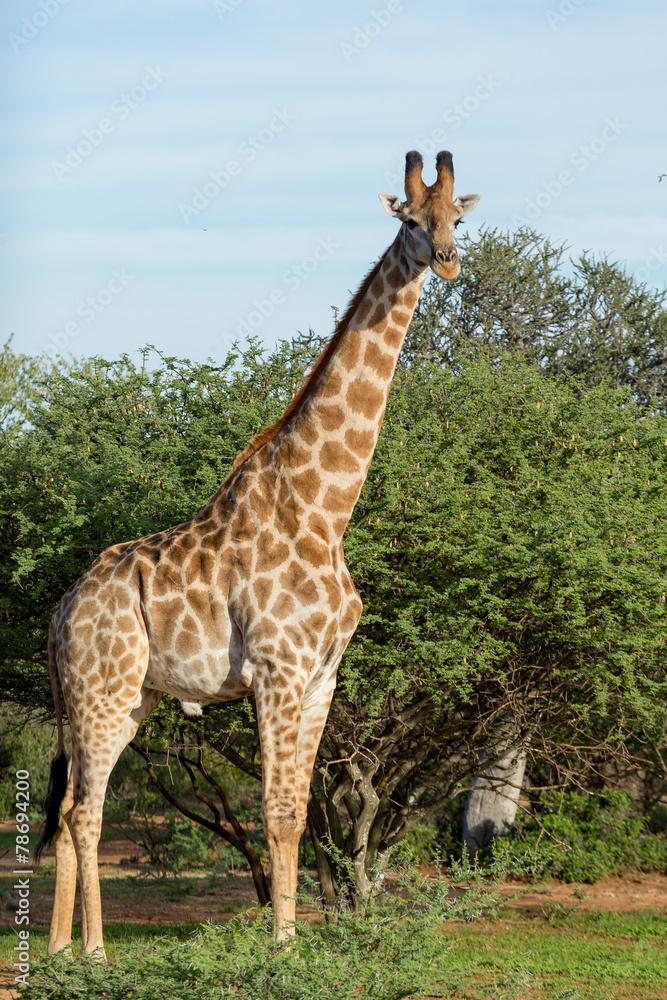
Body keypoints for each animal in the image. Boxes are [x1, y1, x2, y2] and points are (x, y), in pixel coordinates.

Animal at [36, 150, 480, 956]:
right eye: (408, 220)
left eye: (455, 219)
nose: (447, 260)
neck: (324, 510)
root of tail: (58, 613)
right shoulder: (277, 669)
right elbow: (274, 813)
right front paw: (282, 947)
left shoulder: (322, 675)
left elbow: (301, 812)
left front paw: (295, 939)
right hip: (102, 692)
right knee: (84, 812)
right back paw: (95, 952)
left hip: (120, 697)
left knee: (70, 807)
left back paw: (55, 953)